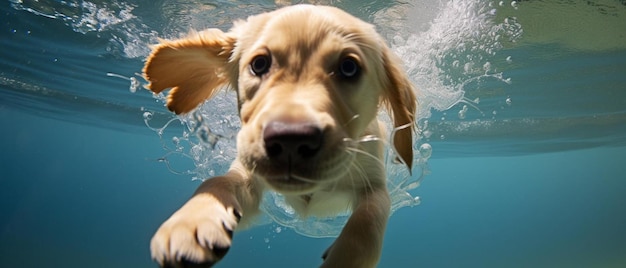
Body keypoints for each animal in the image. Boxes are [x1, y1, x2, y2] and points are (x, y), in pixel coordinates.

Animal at [141, 4, 414, 268]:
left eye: (349, 68)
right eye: (259, 64)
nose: (290, 140)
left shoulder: (375, 185)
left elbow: (367, 223)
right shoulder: (248, 176)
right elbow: (218, 182)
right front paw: (190, 222)